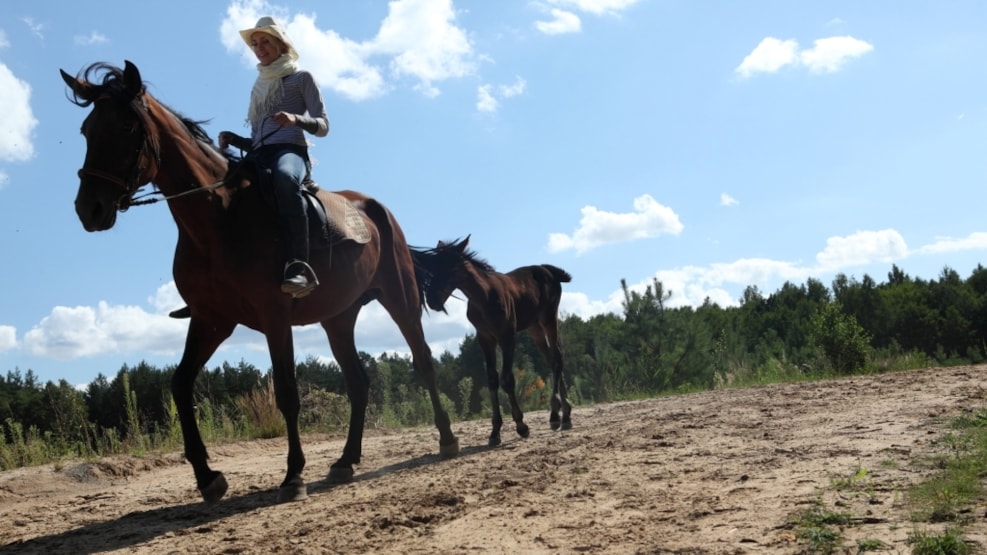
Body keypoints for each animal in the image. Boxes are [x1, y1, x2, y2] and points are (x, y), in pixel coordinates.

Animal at [60, 62, 460, 508]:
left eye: (128, 127)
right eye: (87, 130)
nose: (89, 208)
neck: (218, 217)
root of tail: (378, 211)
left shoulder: (274, 316)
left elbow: (286, 391)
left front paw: (294, 475)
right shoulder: (211, 320)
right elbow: (180, 385)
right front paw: (208, 478)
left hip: (399, 298)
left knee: (423, 360)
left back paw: (446, 440)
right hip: (338, 317)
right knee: (359, 381)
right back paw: (344, 462)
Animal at [412, 237, 580, 446]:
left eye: (451, 268)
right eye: (433, 268)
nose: (432, 300)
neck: (483, 298)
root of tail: (547, 269)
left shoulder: (507, 336)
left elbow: (507, 379)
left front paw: (521, 426)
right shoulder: (485, 338)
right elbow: (492, 379)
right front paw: (495, 432)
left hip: (548, 317)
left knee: (557, 357)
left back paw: (556, 416)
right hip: (534, 327)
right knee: (551, 359)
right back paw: (566, 416)